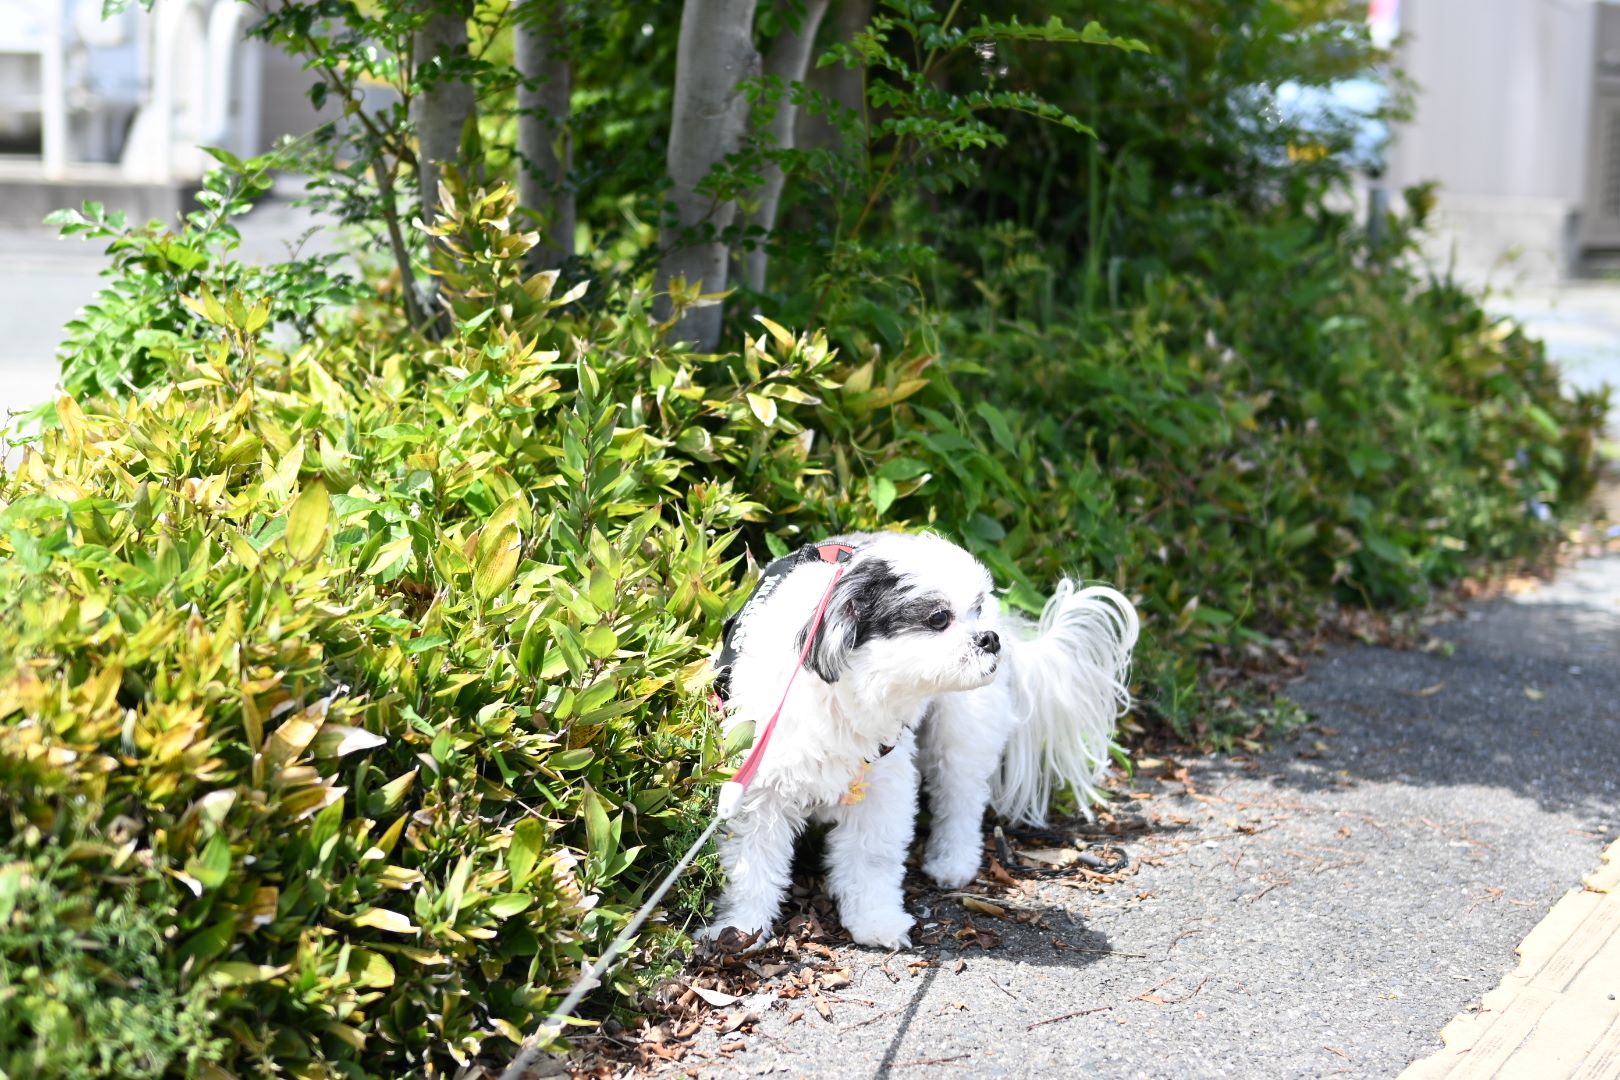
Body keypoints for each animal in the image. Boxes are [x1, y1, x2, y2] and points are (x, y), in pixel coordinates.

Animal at [699, 531, 1140, 945]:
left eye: (975, 608)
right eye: (939, 618)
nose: (989, 638)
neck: (847, 694)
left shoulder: (883, 783)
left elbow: (872, 858)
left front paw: (875, 920)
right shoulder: (758, 788)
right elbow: (751, 865)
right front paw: (740, 929)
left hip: (962, 730)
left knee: (961, 797)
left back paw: (953, 860)